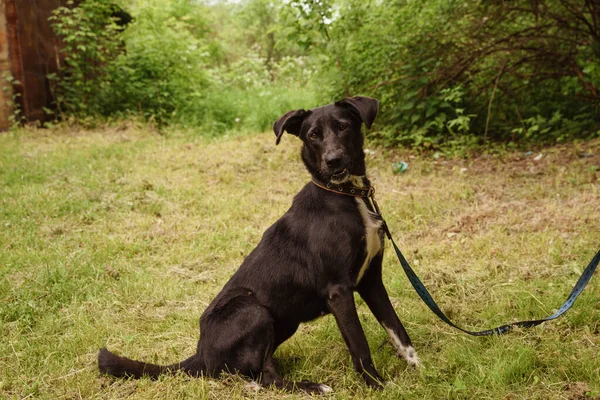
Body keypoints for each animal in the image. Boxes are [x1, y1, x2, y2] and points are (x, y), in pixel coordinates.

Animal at [97, 97, 418, 394]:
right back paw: (312, 386)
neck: (347, 195)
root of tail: (200, 354)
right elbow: (360, 346)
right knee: (265, 378)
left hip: (283, 321)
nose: (334, 161)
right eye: (313, 135)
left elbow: (397, 328)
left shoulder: (371, 280)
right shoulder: (339, 291)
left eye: (343, 126)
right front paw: (378, 387)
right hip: (253, 310)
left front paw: (419, 369)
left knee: (263, 370)